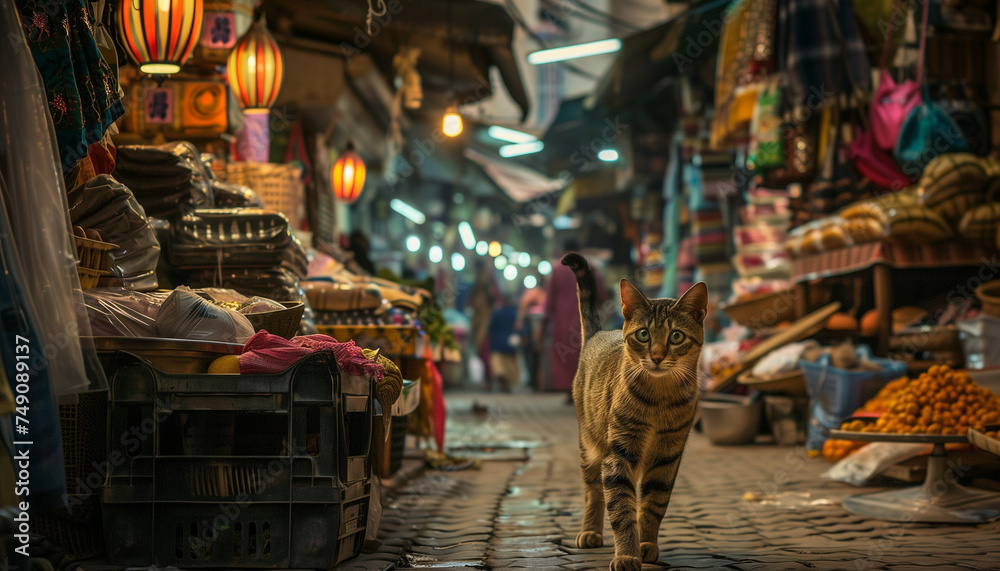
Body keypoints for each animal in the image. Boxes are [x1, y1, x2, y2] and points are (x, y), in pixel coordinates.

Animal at [568, 255, 708, 571]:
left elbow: (653, 505)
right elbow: (622, 510)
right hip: (589, 447)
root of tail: (597, 333)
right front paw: (627, 554)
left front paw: (646, 545)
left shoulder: (667, 457)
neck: (659, 398)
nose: (656, 356)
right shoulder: (619, 456)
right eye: (643, 334)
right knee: (593, 492)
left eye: (676, 336)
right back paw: (590, 531)